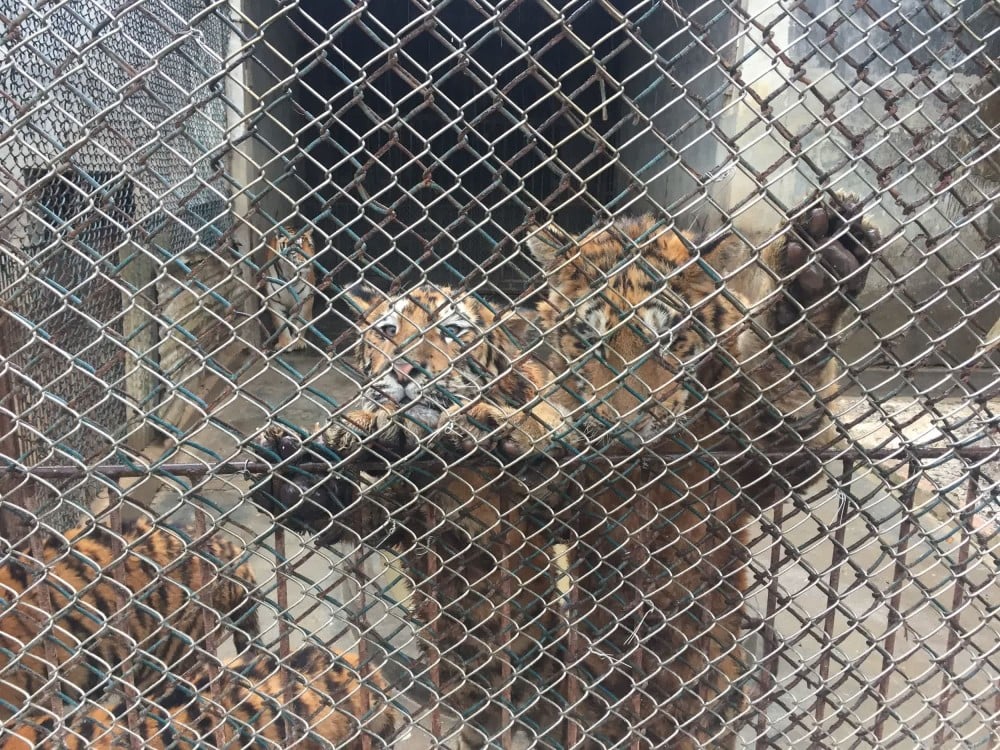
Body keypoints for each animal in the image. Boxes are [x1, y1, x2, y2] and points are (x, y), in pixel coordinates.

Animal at [250, 284, 572, 750]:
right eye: (388, 330)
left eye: (453, 330)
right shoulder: (404, 519)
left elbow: (549, 434)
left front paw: (504, 425)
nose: (404, 370)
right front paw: (296, 471)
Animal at [520, 191, 880, 748]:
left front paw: (815, 270)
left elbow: (785, 373)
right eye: (589, 340)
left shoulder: (762, 463)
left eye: (667, 339)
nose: (623, 421)